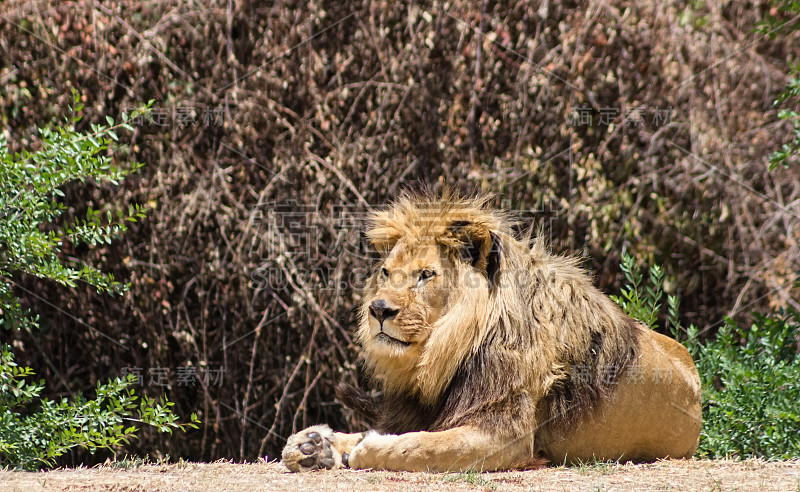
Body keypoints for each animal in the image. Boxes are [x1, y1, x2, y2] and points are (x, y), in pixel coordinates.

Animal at [282, 192, 700, 472]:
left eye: (425, 275)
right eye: (386, 272)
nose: (379, 309)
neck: (440, 356)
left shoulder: (506, 434)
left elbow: (417, 447)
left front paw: (364, 449)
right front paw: (312, 445)